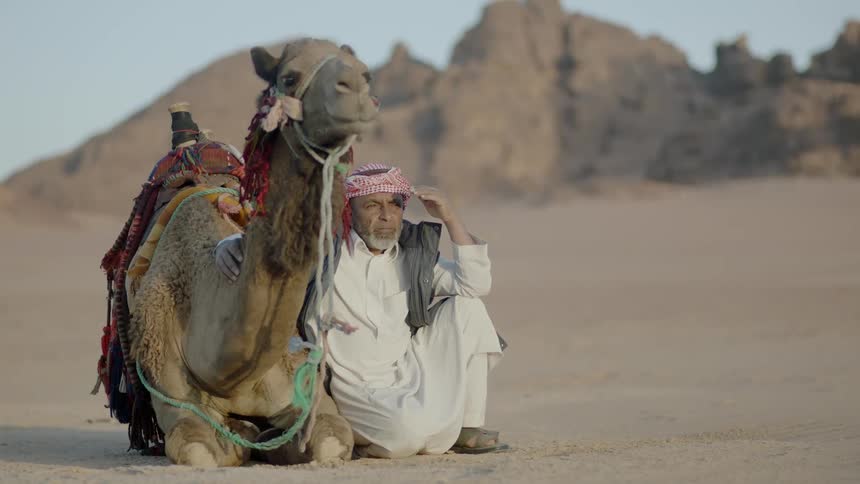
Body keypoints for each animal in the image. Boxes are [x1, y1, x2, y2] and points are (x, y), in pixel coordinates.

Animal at [127, 38, 379, 467]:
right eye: (289, 77)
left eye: (365, 70)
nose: (357, 89)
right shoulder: (171, 389)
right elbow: (199, 448)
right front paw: (243, 436)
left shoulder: (302, 386)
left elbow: (331, 437)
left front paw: (275, 438)